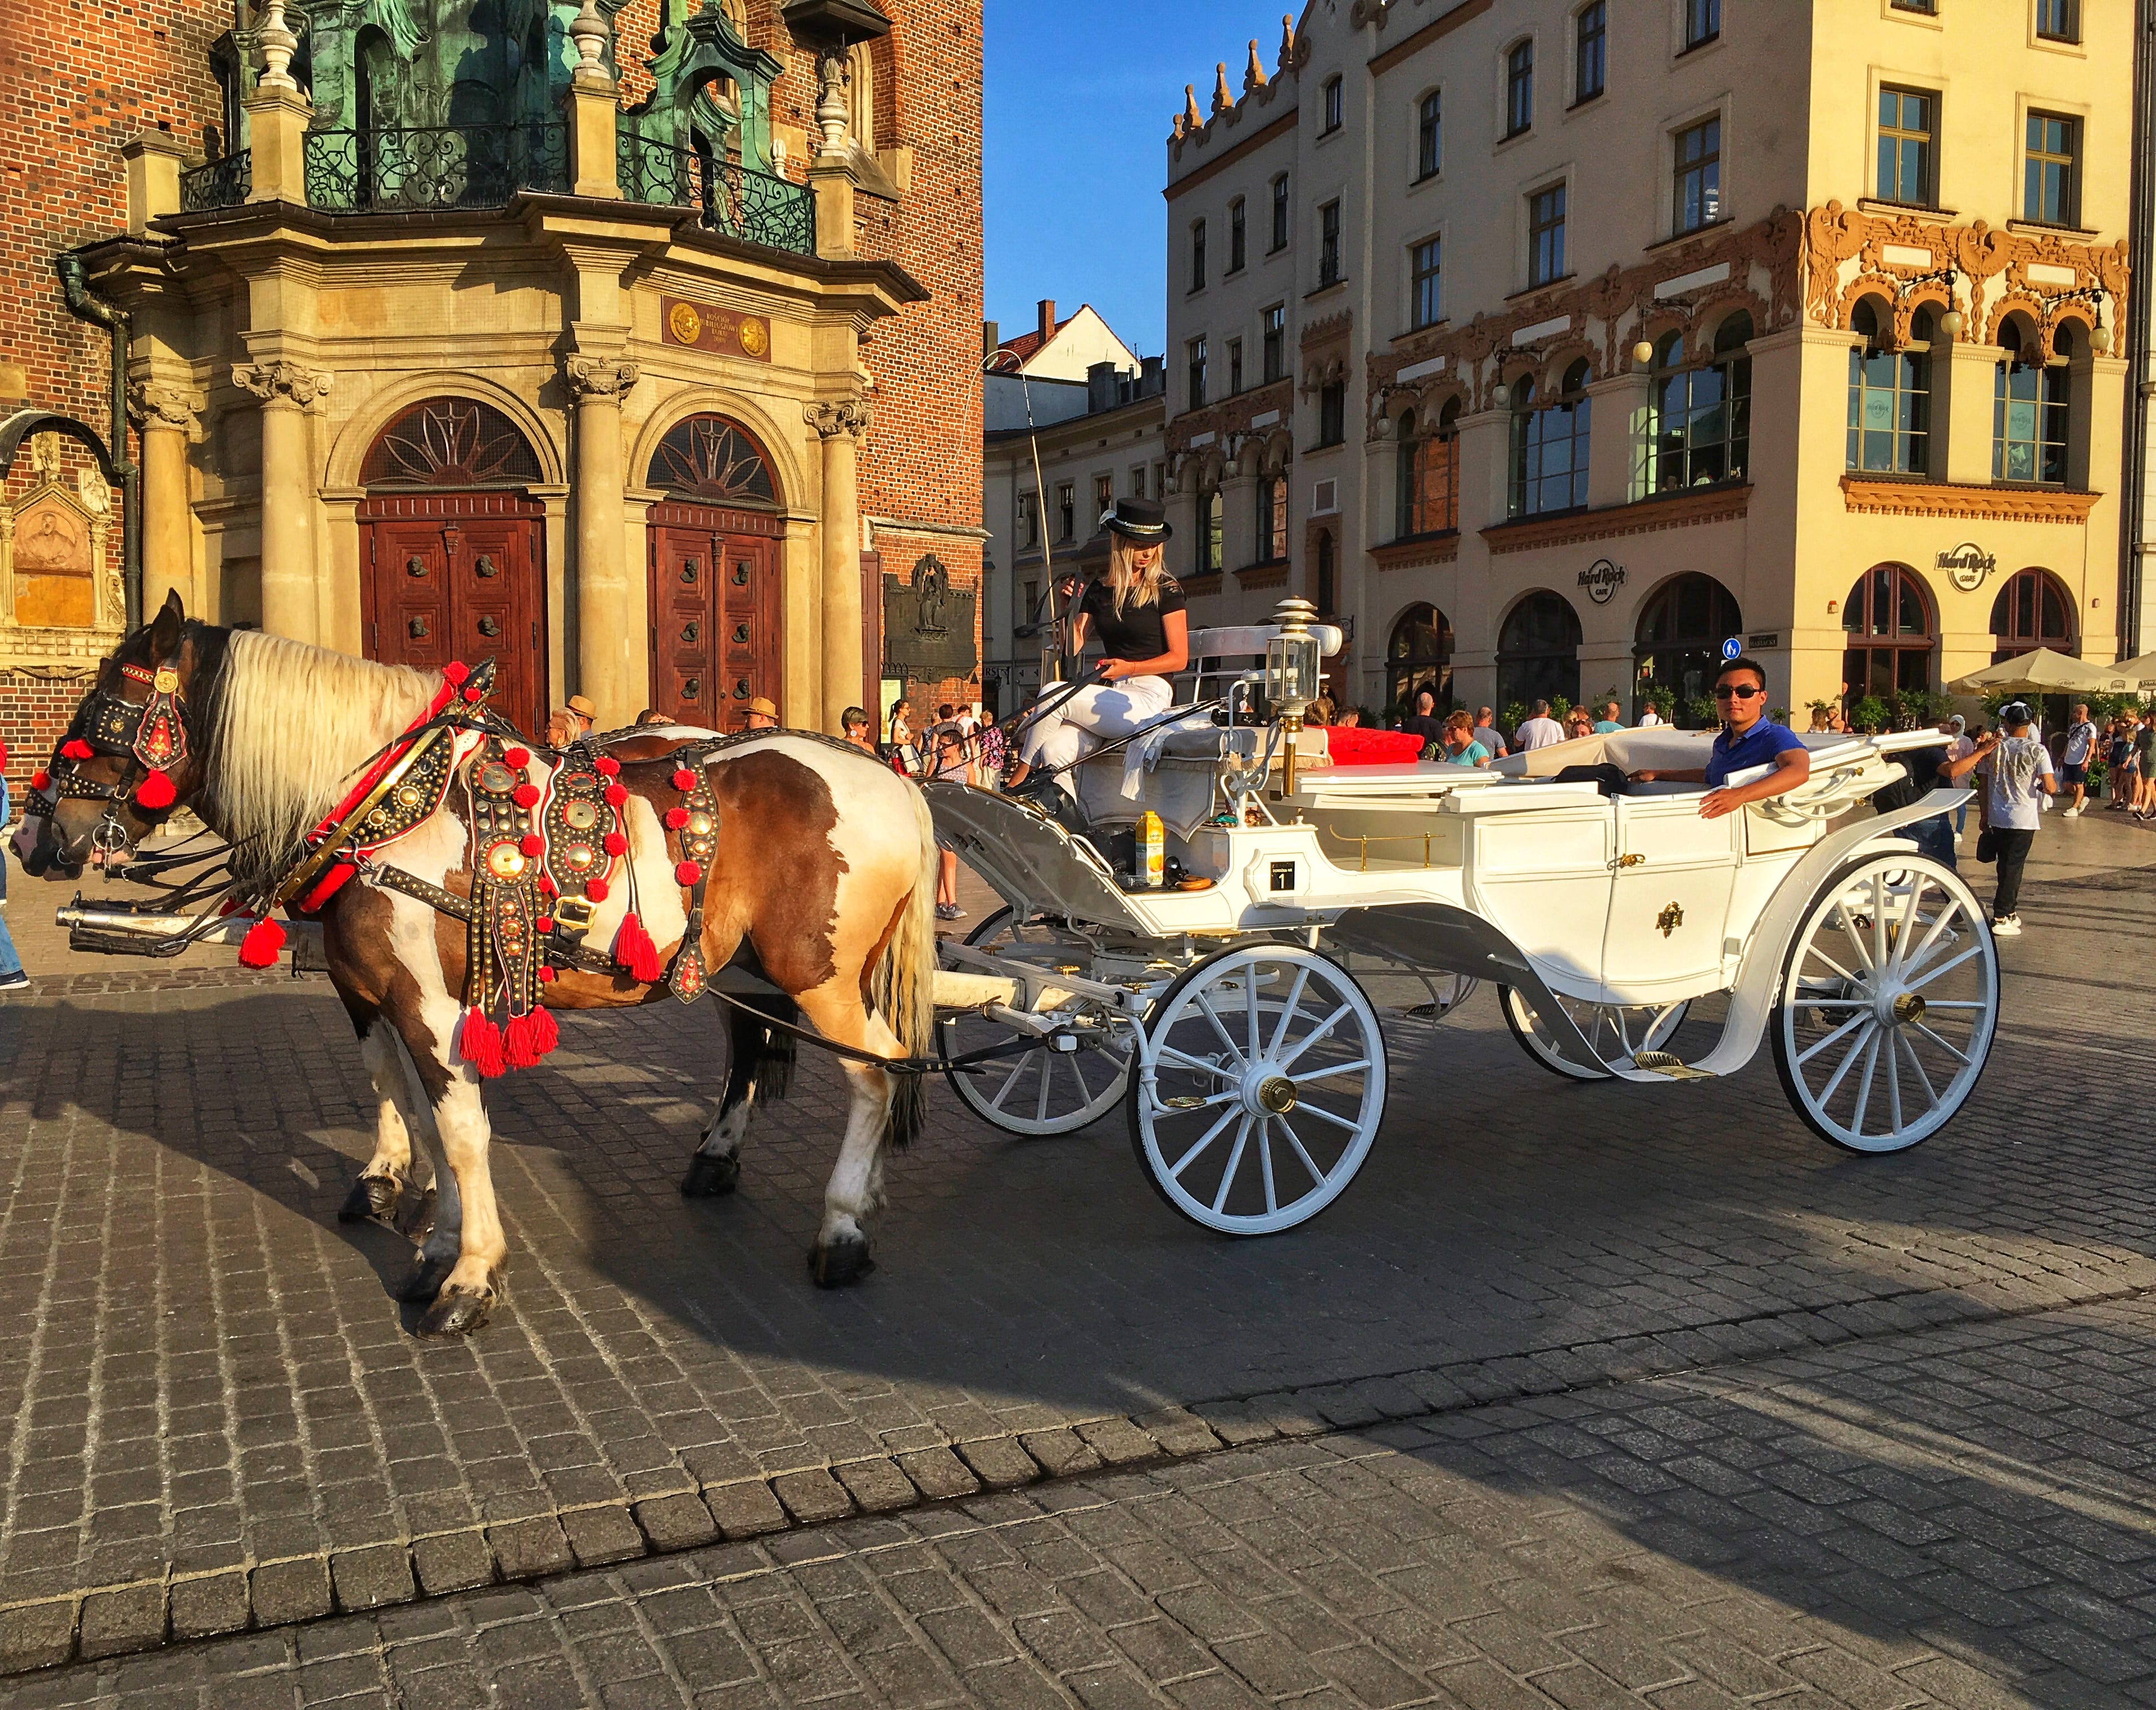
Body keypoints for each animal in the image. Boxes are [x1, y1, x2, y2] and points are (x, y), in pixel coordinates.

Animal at [10, 595, 935, 1337]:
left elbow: (460, 1131)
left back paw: (844, 1229)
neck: (384, 804)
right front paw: (431, 1241)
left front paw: (470, 1276)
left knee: (878, 1073)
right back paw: (739, 1166)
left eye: (105, 706)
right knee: (760, 1054)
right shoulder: (372, 992)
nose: (32, 837)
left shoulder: (426, 999)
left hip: (820, 975)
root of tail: (893, 779)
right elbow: (416, 1115)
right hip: (739, 968)